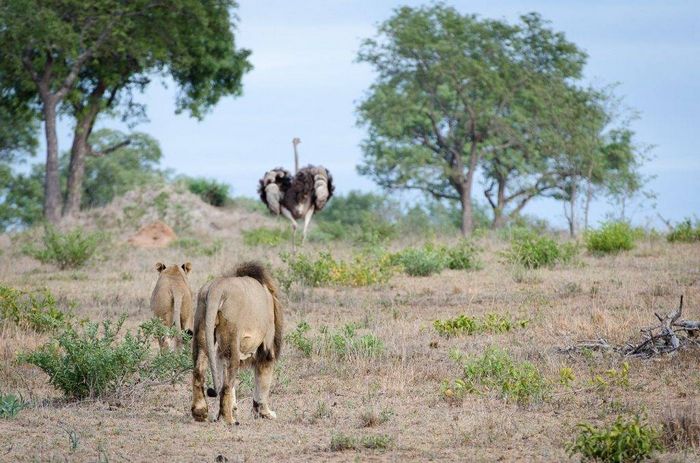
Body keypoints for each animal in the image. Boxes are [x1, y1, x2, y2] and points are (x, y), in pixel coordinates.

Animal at [190, 262, 284, 426]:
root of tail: (217, 288)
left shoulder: (219, 352)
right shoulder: (267, 347)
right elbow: (263, 381)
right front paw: (265, 413)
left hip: (202, 329)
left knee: (199, 371)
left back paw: (200, 413)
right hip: (232, 339)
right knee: (227, 384)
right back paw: (229, 420)